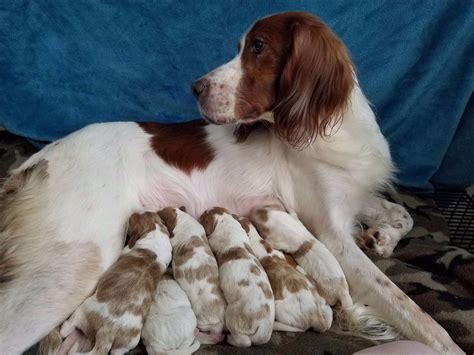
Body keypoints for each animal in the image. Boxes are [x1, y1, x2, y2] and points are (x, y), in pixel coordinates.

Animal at [58, 213, 170, 354]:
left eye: (132, 220)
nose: (134, 213)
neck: (154, 231)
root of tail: (107, 333)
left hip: (82, 310)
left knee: (66, 329)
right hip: (128, 343)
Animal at [199, 207, 274, 350]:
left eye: (205, 214)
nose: (199, 214)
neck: (227, 221)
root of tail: (261, 325)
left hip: (232, 317)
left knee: (244, 341)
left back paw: (230, 339)